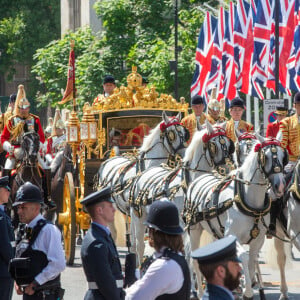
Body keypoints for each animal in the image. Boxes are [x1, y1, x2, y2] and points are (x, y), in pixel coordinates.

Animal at [186, 137, 288, 300]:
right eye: (265, 157)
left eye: (283, 156)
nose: (280, 186)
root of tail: (199, 179)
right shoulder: (232, 236)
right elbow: (243, 257)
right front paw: (247, 290)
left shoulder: (258, 240)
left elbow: (252, 260)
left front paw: (248, 286)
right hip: (194, 229)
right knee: (193, 259)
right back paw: (200, 293)